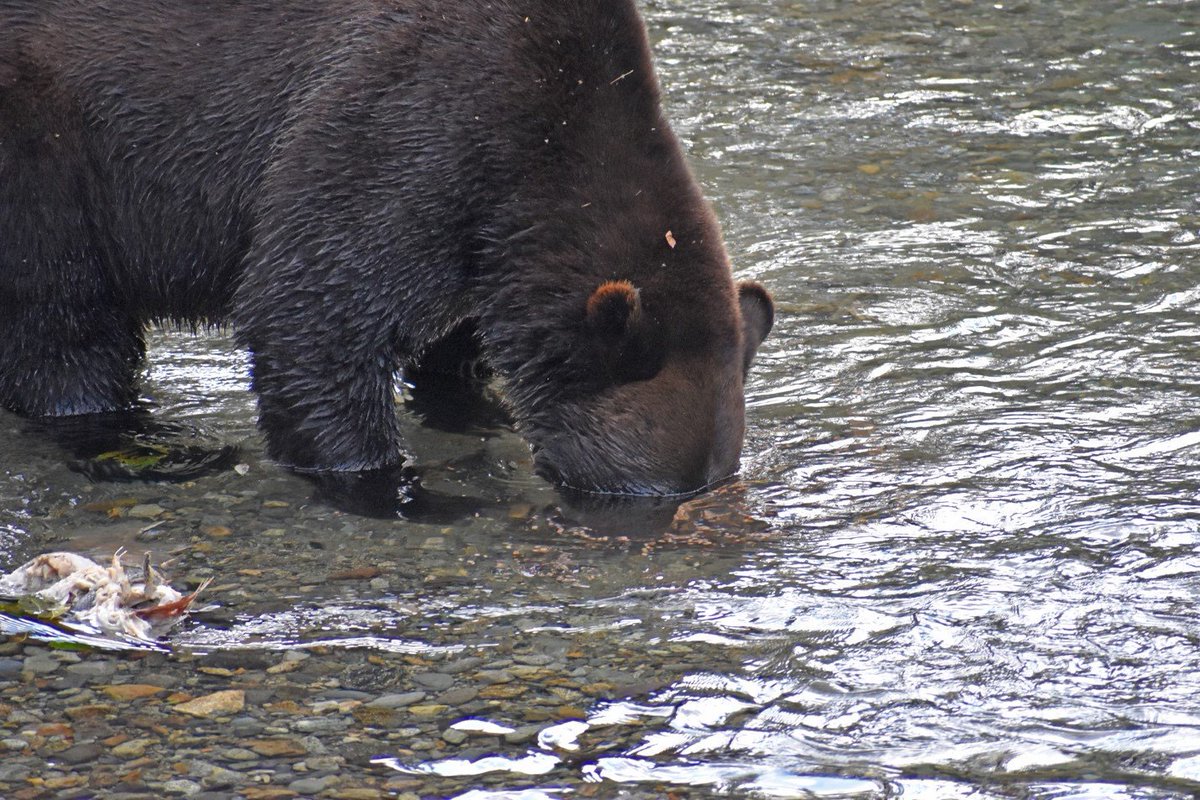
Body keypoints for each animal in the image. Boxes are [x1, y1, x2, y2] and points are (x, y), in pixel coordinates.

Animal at [0, 0, 773, 497]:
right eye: (634, 487)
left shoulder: (481, 233)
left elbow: (455, 344)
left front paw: (471, 408)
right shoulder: (405, 122)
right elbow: (312, 315)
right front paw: (393, 484)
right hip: (50, 154)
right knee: (63, 323)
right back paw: (145, 446)